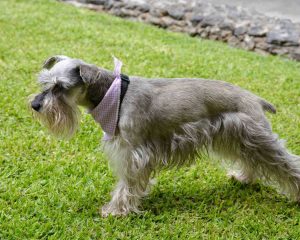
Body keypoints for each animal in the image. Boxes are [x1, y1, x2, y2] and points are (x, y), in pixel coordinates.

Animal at [31, 55, 300, 217]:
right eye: (44, 82)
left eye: (60, 87)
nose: (35, 105)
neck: (114, 94)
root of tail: (256, 99)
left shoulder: (133, 154)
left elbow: (126, 185)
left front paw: (115, 211)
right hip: (238, 138)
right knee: (251, 160)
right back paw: (243, 177)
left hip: (256, 137)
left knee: (286, 164)